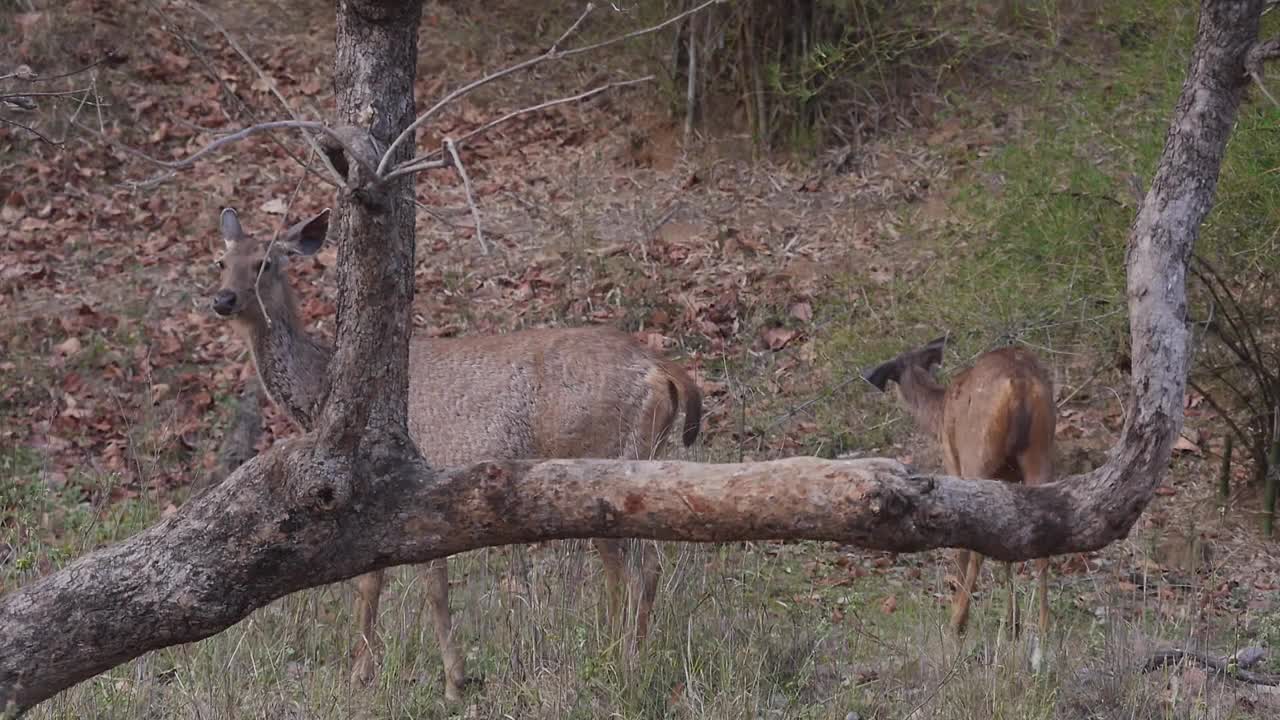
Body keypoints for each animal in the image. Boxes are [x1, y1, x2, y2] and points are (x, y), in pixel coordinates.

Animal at [213, 204, 706, 696]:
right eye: (221, 261)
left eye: (264, 263)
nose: (222, 299)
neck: (322, 399)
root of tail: (662, 369)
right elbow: (371, 581)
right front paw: (361, 673)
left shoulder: (416, 486)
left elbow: (432, 588)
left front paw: (453, 680)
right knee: (642, 564)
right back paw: (627, 655)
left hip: (606, 460)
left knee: (634, 565)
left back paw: (620, 659)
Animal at [860, 335, 1059, 645]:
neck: (939, 410)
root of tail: (1020, 385)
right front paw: (1012, 624)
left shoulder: (952, 461)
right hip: (1040, 452)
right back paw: (1043, 627)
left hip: (976, 456)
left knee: (977, 545)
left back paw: (958, 620)